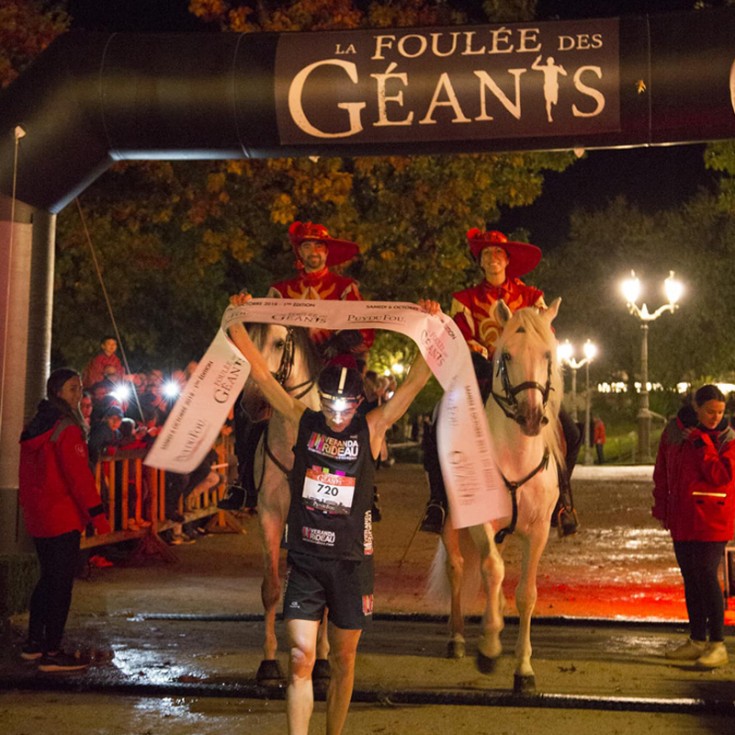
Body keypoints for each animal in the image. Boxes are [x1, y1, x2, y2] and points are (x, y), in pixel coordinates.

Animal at [239, 324, 330, 688]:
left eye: (279, 343)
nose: (251, 402)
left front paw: (322, 663)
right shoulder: (271, 516)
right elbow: (272, 589)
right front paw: (268, 664)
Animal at [432, 296, 564, 692]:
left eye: (547, 354)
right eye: (506, 355)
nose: (532, 416)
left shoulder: (538, 532)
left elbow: (527, 594)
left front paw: (523, 668)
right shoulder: (482, 523)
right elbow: (491, 570)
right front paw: (489, 647)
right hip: (449, 522)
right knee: (458, 568)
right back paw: (458, 638)